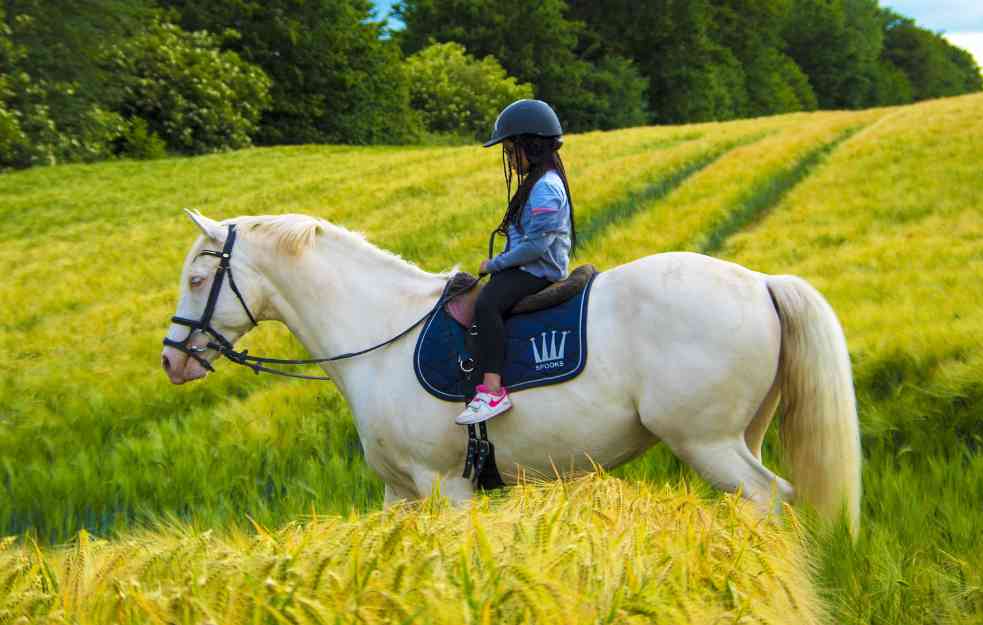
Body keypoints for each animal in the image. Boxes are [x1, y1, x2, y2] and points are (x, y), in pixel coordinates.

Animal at [160, 212, 860, 532]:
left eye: (196, 278)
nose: (172, 359)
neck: (381, 332)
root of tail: (762, 281)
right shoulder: (399, 493)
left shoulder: (443, 486)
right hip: (741, 435)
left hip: (707, 443)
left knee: (769, 497)